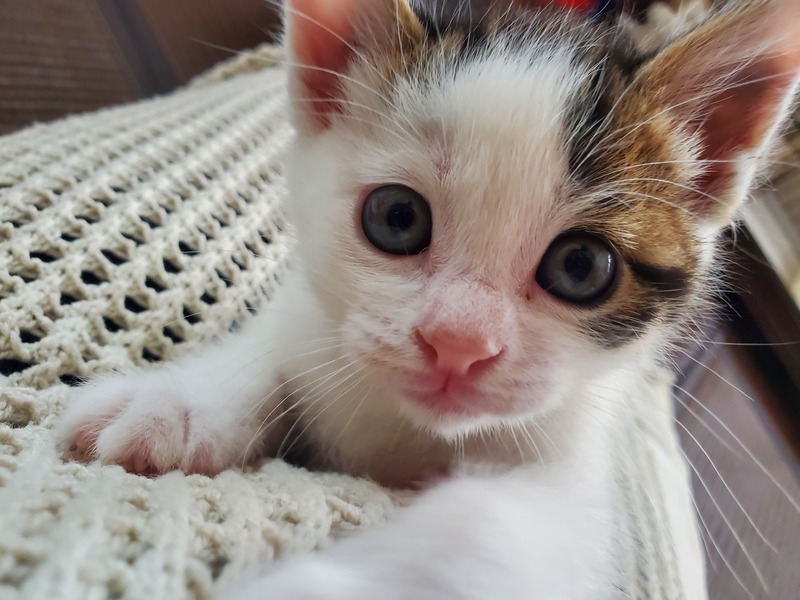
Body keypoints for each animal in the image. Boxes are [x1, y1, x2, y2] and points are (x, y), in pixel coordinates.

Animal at [56, 0, 800, 597]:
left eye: (582, 266)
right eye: (396, 218)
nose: (458, 343)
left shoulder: (574, 486)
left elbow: (488, 524)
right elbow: (285, 332)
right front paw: (177, 400)